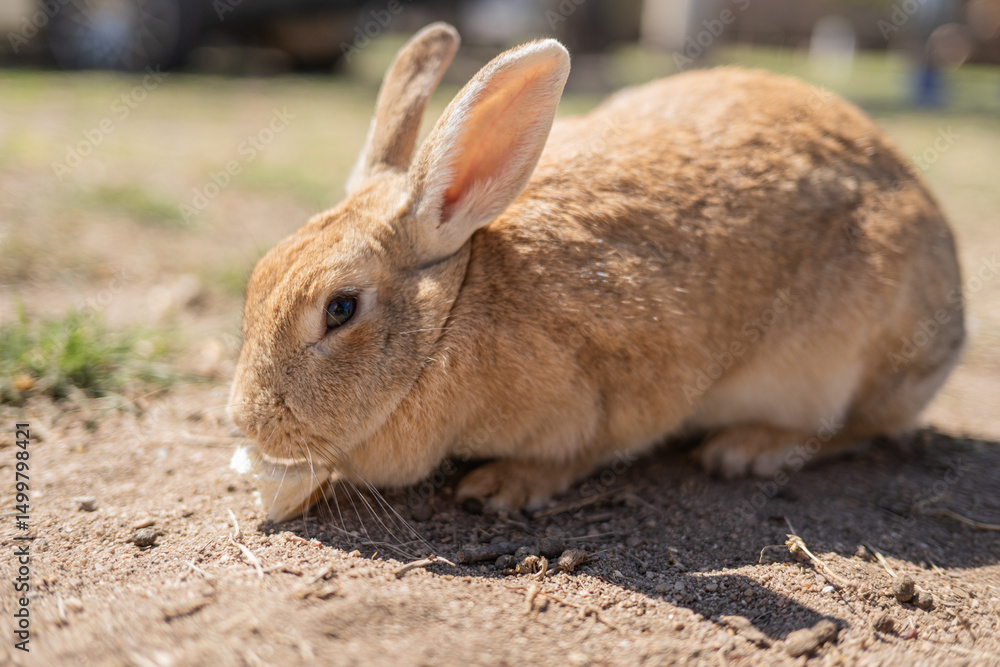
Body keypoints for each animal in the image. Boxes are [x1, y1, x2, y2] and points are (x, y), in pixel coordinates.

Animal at [228, 22, 964, 520]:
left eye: (341, 308)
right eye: (259, 275)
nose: (246, 422)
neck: (456, 312)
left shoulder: (629, 386)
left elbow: (584, 449)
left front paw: (503, 486)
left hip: (862, 354)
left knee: (857, 427)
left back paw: (748, 447)